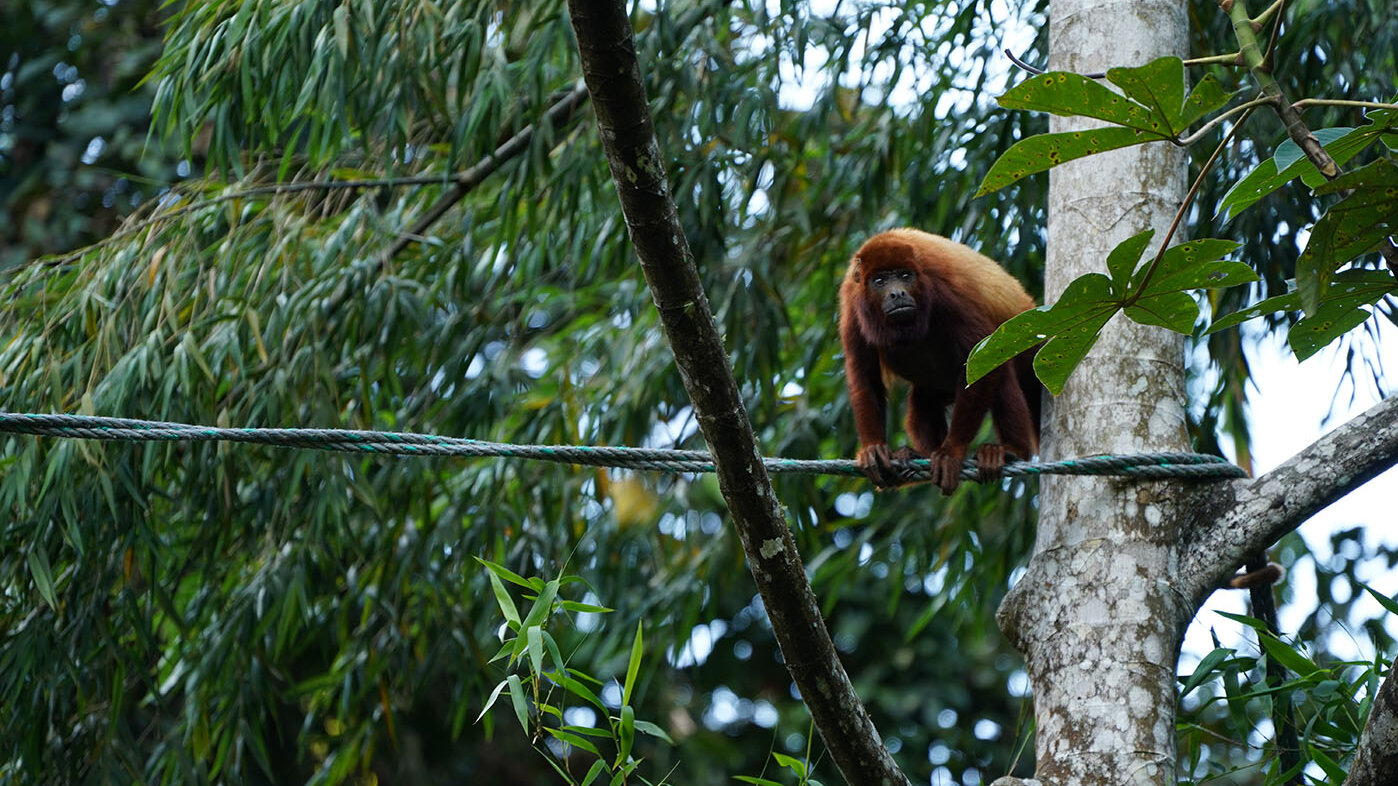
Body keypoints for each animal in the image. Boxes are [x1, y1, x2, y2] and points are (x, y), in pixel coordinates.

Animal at [833, 226, 1045, 489]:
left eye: (905, 276)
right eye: (879, 280)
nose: (897, 294)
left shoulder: (942, 289)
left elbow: (982, 358)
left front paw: (951, 453)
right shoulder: (852, 306)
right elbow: (864, 378)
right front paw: (873, 449)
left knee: (1000, 371)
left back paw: (1010, 450)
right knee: (923, 400)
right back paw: (917, 456)